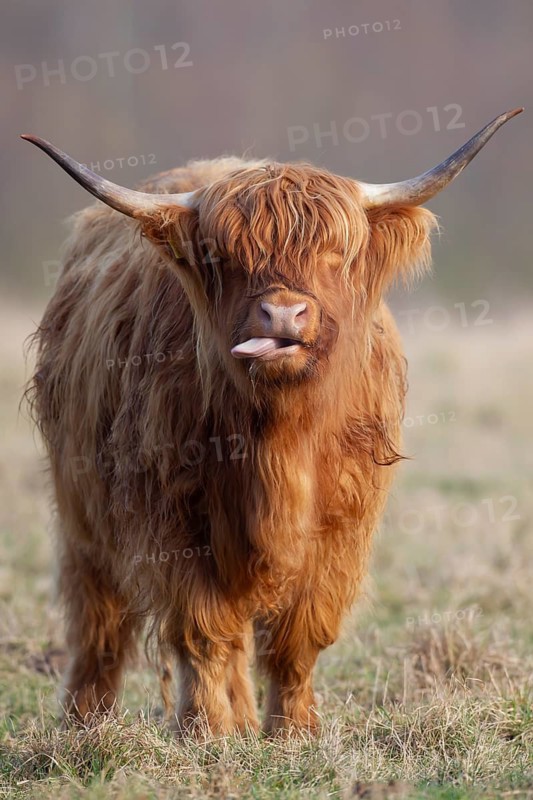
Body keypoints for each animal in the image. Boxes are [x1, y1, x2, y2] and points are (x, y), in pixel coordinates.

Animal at [23, 108, 521, 735]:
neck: (281, 445)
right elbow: (203, 632)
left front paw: (294, 731)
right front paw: (207, 731)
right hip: (83, 512)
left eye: (336, 254)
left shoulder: (341, 528)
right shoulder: (174, 520)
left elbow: (298, 638)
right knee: (100, 624)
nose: (283, 313)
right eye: (225, 256)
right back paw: (87, 720)